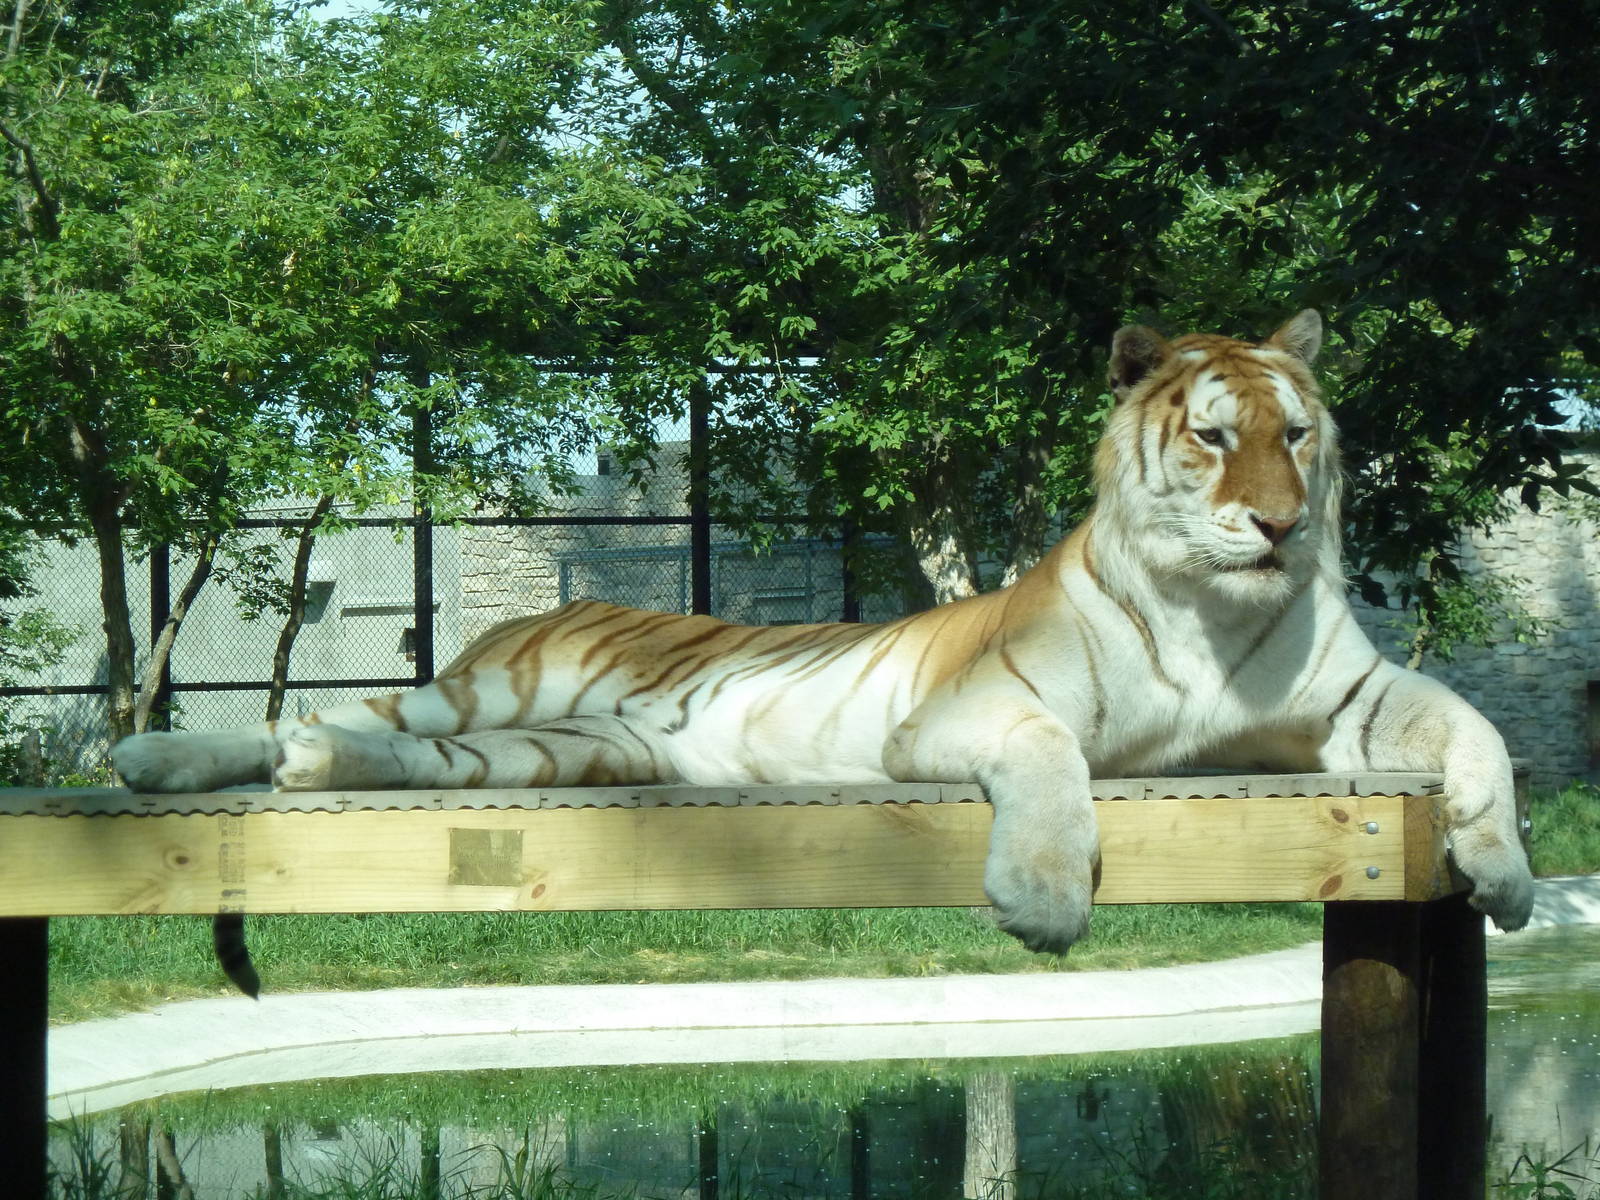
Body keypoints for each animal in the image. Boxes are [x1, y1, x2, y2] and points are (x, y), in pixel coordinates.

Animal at [113, 310, 1536, 968]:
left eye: (1295, 434)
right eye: (1211, 436)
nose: (1282, 525)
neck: (1213, 603)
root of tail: (536, 605)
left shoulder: (1354, 702)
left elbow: (1480, 728)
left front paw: (1503, 869)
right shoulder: (971, 711)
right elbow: (1052, 760)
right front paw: (1040, 897)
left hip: (560, 752)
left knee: (361, 753)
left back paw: (307, 775)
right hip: (478, 700)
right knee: (308, 714)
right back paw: (157, 760)